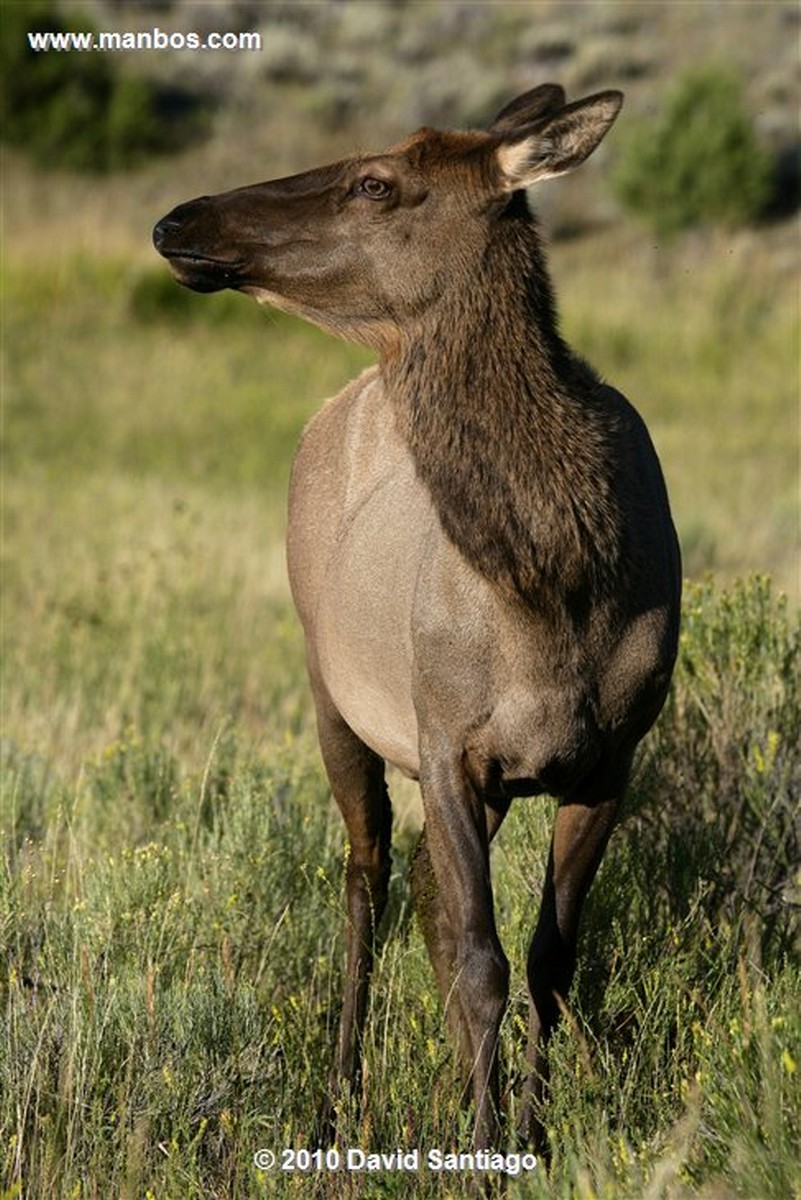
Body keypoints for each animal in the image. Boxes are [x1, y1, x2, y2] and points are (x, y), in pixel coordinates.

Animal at [153, 84, 681, 1152]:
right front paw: (481, 1147)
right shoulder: (444, 740)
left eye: (375, 182)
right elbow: (481, 963)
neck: (554, 588)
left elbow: (547, 962)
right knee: (367, 878)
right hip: (328, 691)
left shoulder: (612, 756)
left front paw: (530, 1133)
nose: (178, 221)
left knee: (431, 908)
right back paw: (335, 1099)